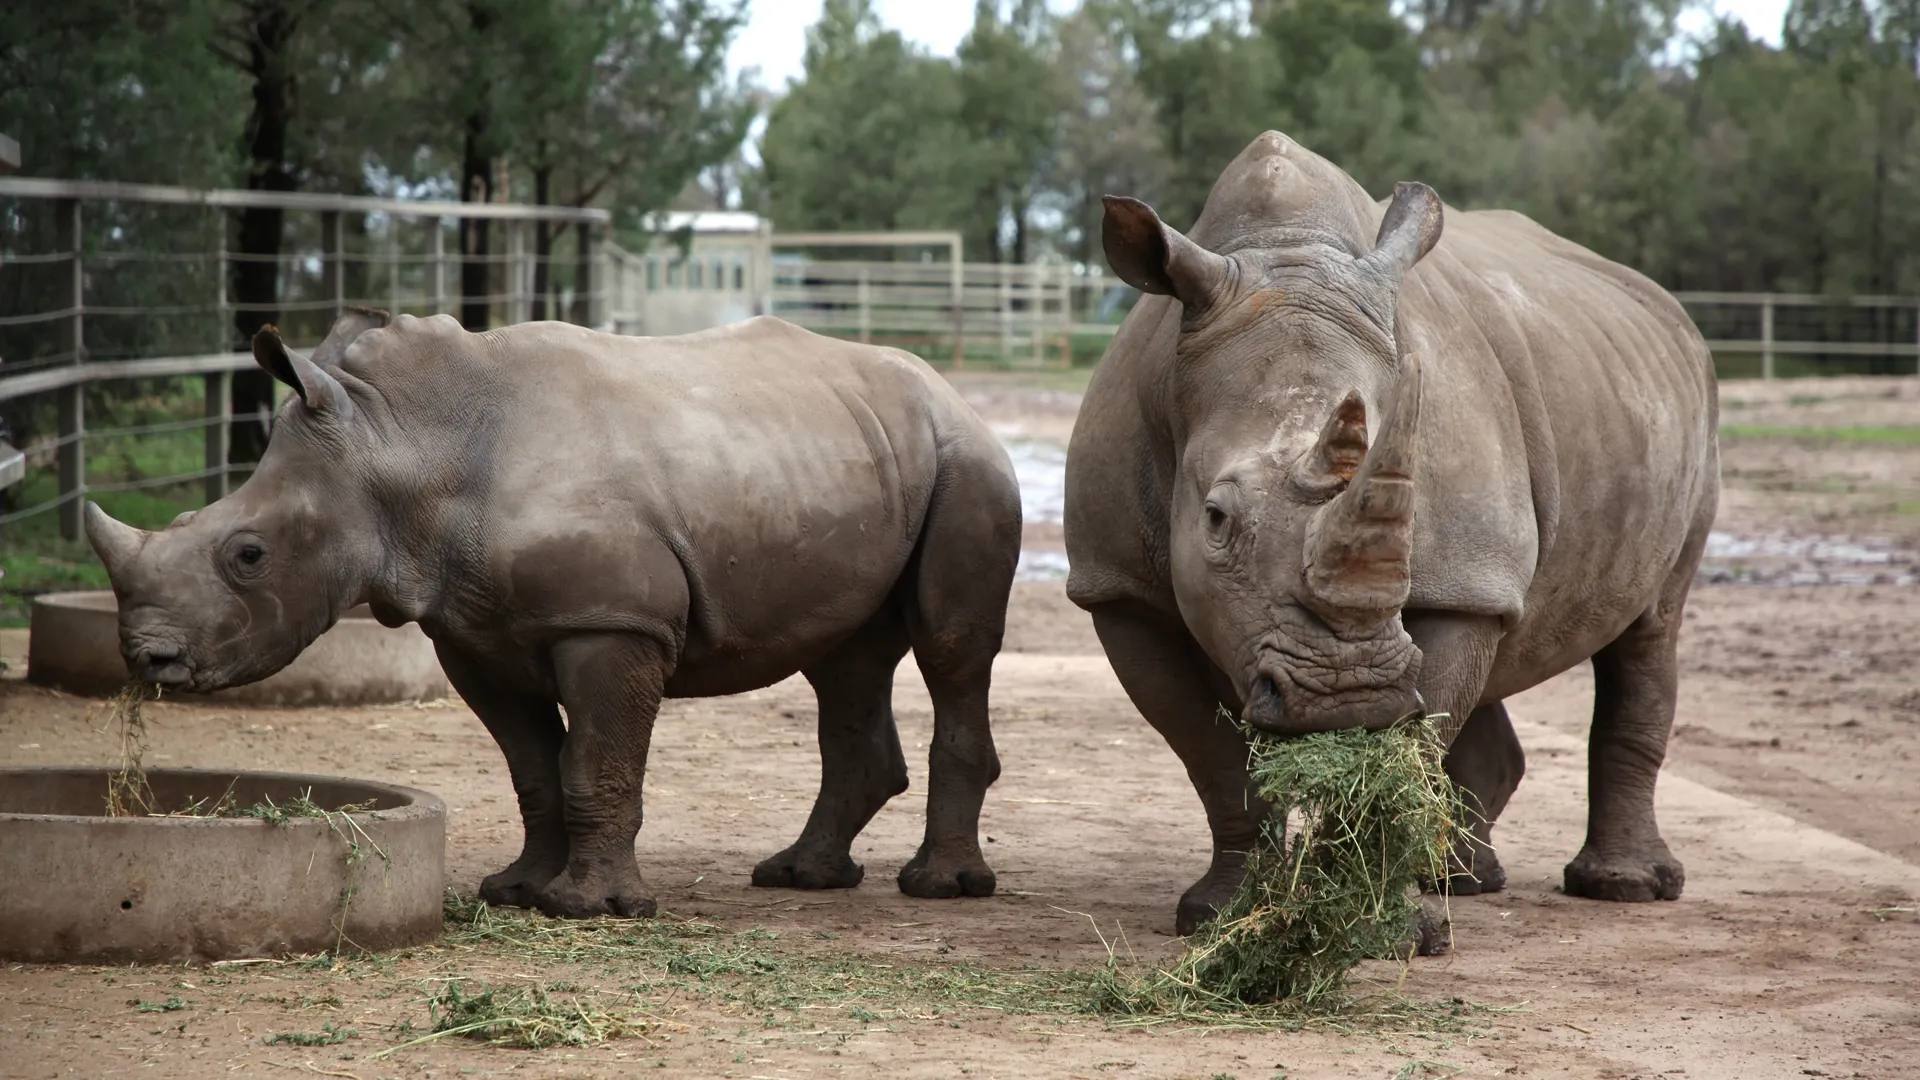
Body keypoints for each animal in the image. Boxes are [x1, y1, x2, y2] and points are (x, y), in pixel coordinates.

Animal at [85, 310, 1022, 918]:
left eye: (247, 555)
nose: (148, 660)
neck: (402, 448)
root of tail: (950, 390)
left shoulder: (611, 622)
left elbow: (595, 762)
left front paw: (591, 908)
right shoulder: (472, 633)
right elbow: (534, 767)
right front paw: (517, 892)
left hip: (966, 462)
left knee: (951, 649)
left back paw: (940, 890)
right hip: (852, 454)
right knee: (844, 661)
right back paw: (799, 877)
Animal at [1064, 132, 1719, 938]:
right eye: (1215, 520)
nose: (1345, 695)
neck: (1284, 250)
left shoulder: (1463, 577)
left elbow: (1419, 731)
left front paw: (1386, 924)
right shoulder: (1119, 587)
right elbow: (1210, 755)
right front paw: (1224, 917)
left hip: (1690, 417)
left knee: (1652, 625)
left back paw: (1620, 889)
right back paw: (1464, 881)